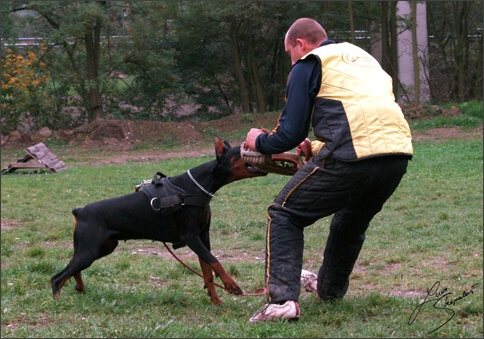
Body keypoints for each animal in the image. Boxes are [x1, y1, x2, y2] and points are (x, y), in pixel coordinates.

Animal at [51, 137, 266, 306]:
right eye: (242, 150)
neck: (198, 186)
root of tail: (80, 211)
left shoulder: (203, 236)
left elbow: (208, 271)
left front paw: (216, 301)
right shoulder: (190, 237)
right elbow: (216, 262)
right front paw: (232, 285)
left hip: (102, 248)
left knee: (73, 269)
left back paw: (80, 288)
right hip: (89, 250)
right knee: (56, 278)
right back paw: (58, 303)